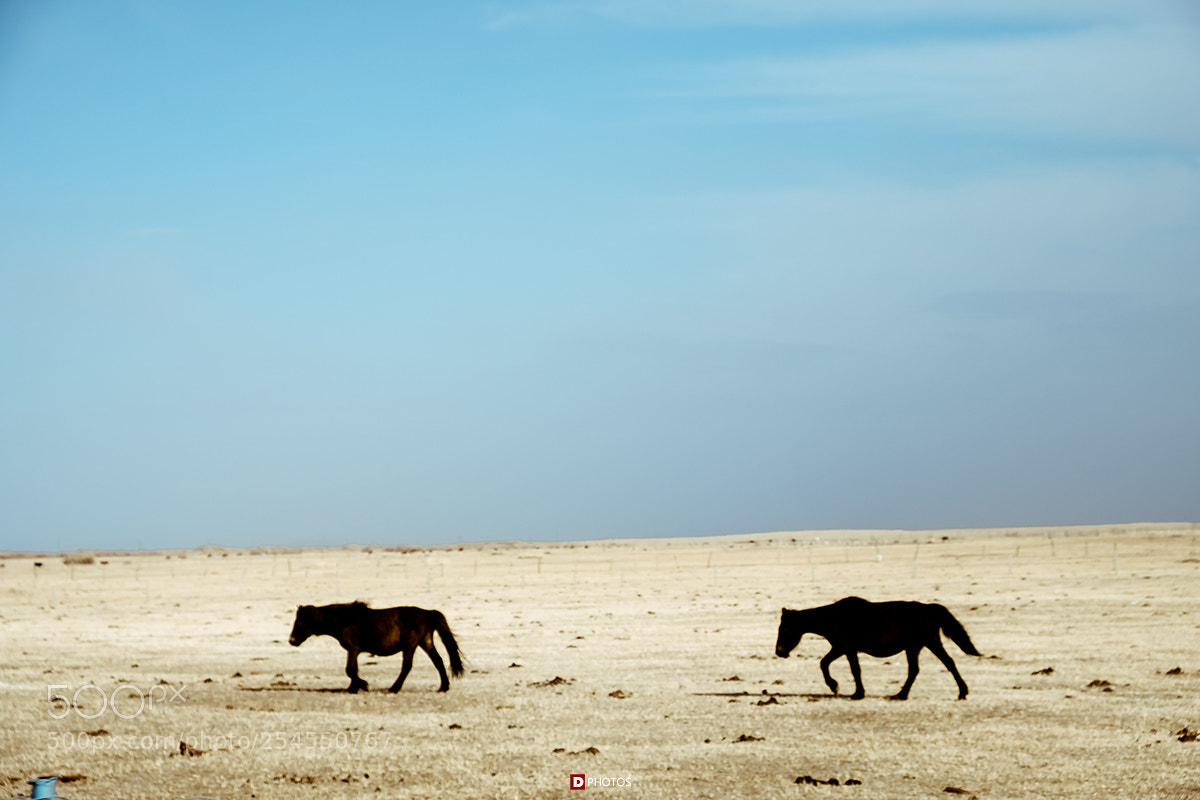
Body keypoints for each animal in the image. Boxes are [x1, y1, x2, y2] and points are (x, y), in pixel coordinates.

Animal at [288, 602, 464, 693]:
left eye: (300, 622)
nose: (292, 640)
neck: (344, 619)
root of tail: (427, 613)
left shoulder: (353, 649)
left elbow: (350, 670)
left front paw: (362, 685)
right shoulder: (354, 651)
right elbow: (353, 670)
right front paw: (353, 688)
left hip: (410, 646)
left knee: (407, 666)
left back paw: (394, 688)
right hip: (425, 642)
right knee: (438, 662)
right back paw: (443, 687)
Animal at [774, 596, 981, 700]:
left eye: (784, 629)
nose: (779, 652)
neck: (834, 617)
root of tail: (929, 609)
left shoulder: (844, 648)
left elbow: (838, 666)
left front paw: (846, 690)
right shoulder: (845, 650)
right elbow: (834, 665)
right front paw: (846, 689)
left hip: (919, 645)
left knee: (919, 669)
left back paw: (901, 695)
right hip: (924, 645)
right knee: (944, 664)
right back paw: (961, 692)